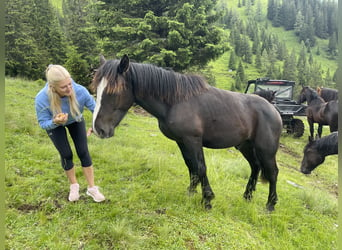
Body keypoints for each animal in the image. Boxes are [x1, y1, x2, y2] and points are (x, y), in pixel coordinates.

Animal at [91, 55, 284, 211]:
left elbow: (200, 167)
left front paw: (207, 200)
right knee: (255, 167)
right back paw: (247, 196)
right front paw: (191, 192)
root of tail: (273, 109)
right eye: (97, 88)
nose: (99, 129)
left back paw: (270, 205)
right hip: (245, 146)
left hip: (266, 150)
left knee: (273, 172)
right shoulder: (182, 141)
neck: (176, 101)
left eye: (114, 91)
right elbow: (191, 166)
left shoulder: (193, 140)